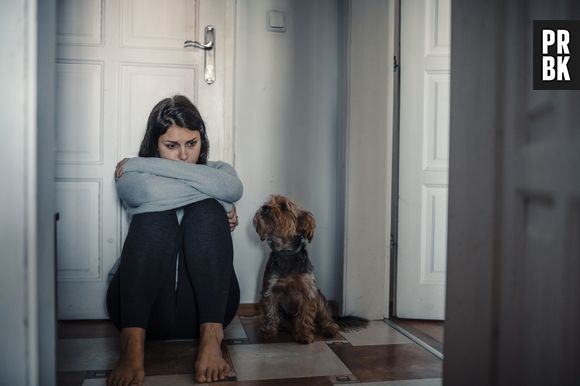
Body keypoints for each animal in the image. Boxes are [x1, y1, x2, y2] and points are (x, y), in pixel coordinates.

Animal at [255, 195, 368, 342]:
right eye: (267, 202)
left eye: (284, 206)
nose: (264, 208)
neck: (286, 253)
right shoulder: (270, 290)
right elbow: (270, 313)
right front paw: (268, 334)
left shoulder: (307, 291)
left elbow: (305, 314)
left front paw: (304, 335)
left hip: (319, 298)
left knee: (327, 319)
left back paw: (329, 329)